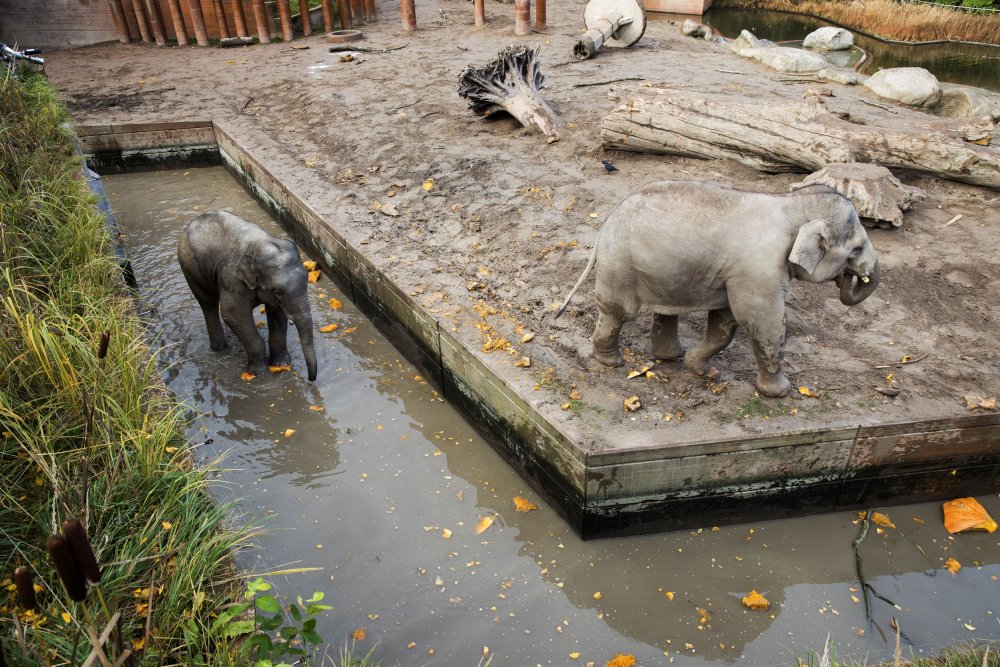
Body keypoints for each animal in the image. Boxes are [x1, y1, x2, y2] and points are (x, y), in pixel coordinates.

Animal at [178, 211, 318, 384]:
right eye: (278, 291)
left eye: (307, 279)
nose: (311, 380)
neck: (260, 244)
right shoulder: (231, 278)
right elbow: (232, 314)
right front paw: (258, 373)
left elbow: (277, 314)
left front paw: (280, 364)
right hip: (190, 268)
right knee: (208, 304)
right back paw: (220, 348)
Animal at [560, 180, 880, 396]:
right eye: (856, 249)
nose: (857, 276)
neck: (791, 202)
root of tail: (608, 220)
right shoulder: (759, 271)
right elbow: (762, 321)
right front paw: (780, 393)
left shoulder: (738, 275)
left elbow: (725, 321)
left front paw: (700, 369)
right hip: (620, 264)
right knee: (618, 311)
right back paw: (612, 362)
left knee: (664, 309)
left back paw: (671, 356)